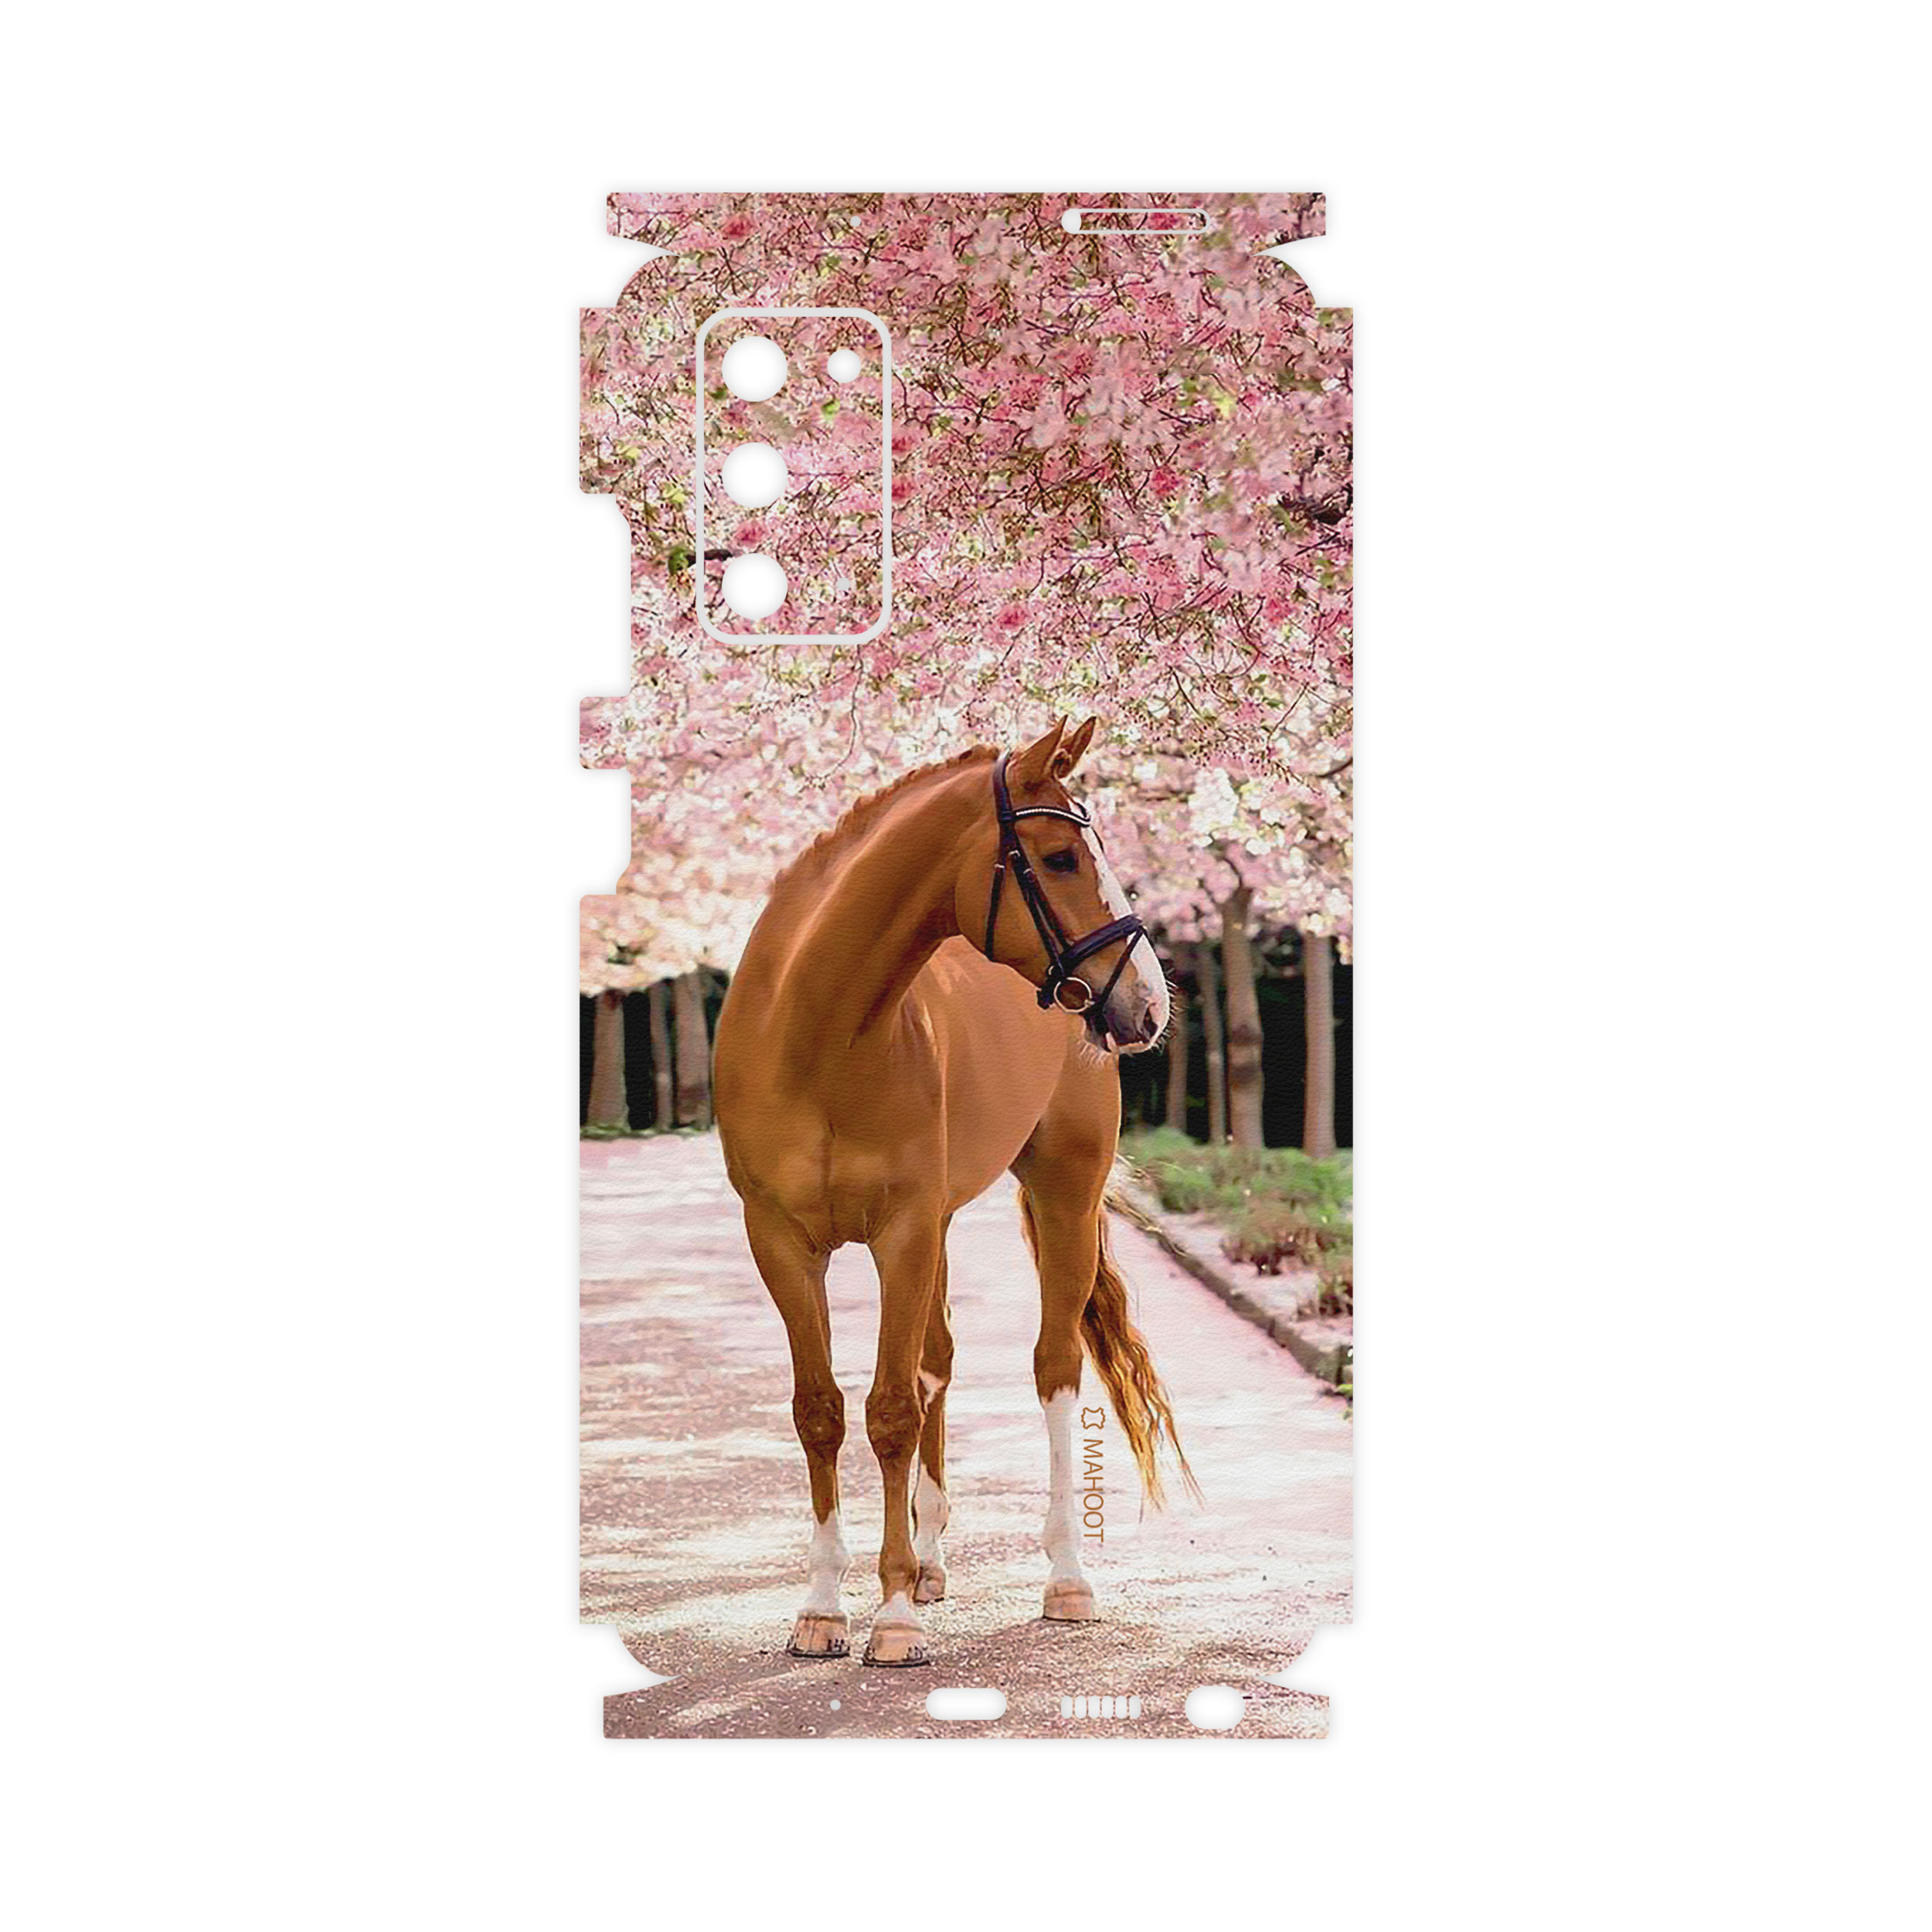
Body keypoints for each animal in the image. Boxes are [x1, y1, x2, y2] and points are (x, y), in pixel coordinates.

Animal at [712, 717, 1194, 1667]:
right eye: (1058, 857)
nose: (1150, 1004)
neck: (817, 1033)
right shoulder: (782, 1241)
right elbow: (822, 1411)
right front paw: (823, 1608)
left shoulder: (900, 1232)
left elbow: (892, 1409)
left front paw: (892, 1617)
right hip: (936, 1226)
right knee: (937, 1361)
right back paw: (932, 1562)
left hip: (1062, 1194)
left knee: (1052, 1367)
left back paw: (1064, 1579)